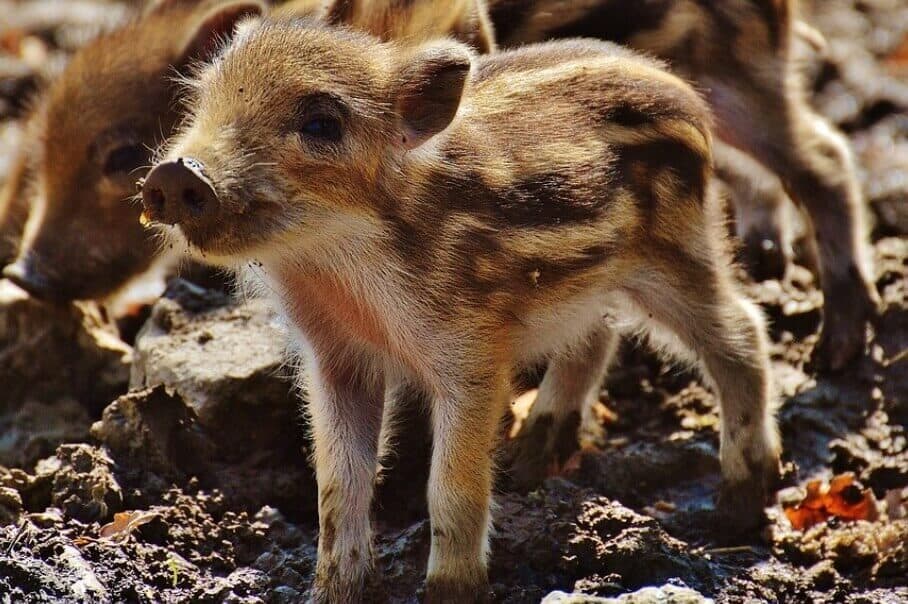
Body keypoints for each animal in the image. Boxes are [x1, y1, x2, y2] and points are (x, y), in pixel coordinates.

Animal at [141, 16, 781, 602]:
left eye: (321, 123)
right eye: (202, 101)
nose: (176, 171)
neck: (336, 266)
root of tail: (690, 100)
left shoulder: (471, 354)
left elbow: (451, 488)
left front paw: (450, 591)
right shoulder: (336, 361)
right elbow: (337, 486)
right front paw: (334, 591)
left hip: (676, 256)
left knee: (742, 333)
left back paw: (740, 502)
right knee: (597, 336)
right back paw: (529, 460)